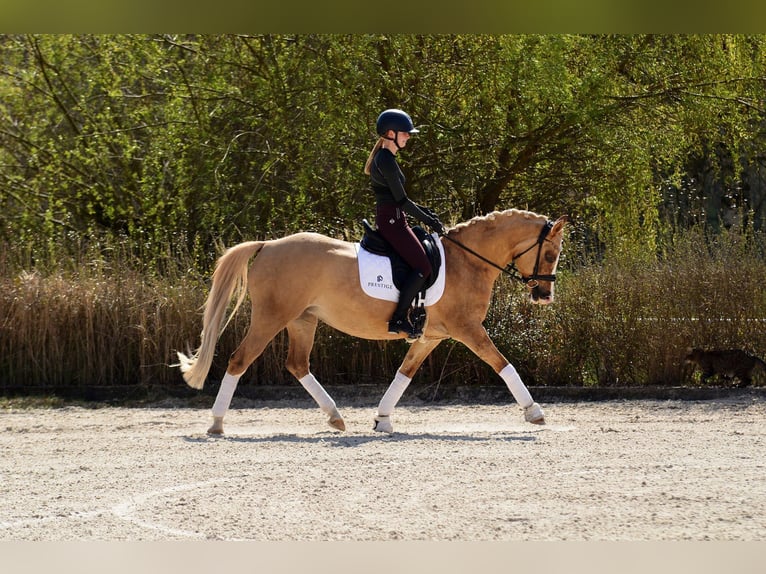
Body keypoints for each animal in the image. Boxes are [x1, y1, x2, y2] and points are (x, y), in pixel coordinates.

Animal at [177, 209, 567, 435]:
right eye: (550, 253)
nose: (544, 296)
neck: (466, 261)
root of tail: (269, 244)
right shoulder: (468, 329)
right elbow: (502, 364)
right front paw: (534, 412)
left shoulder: (430, 337)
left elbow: (403, 375)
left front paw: (382, 419)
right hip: (271, 318)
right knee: (239, 361)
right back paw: (216, 424)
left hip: (302, 320)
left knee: (297, 364)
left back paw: (335, 418)